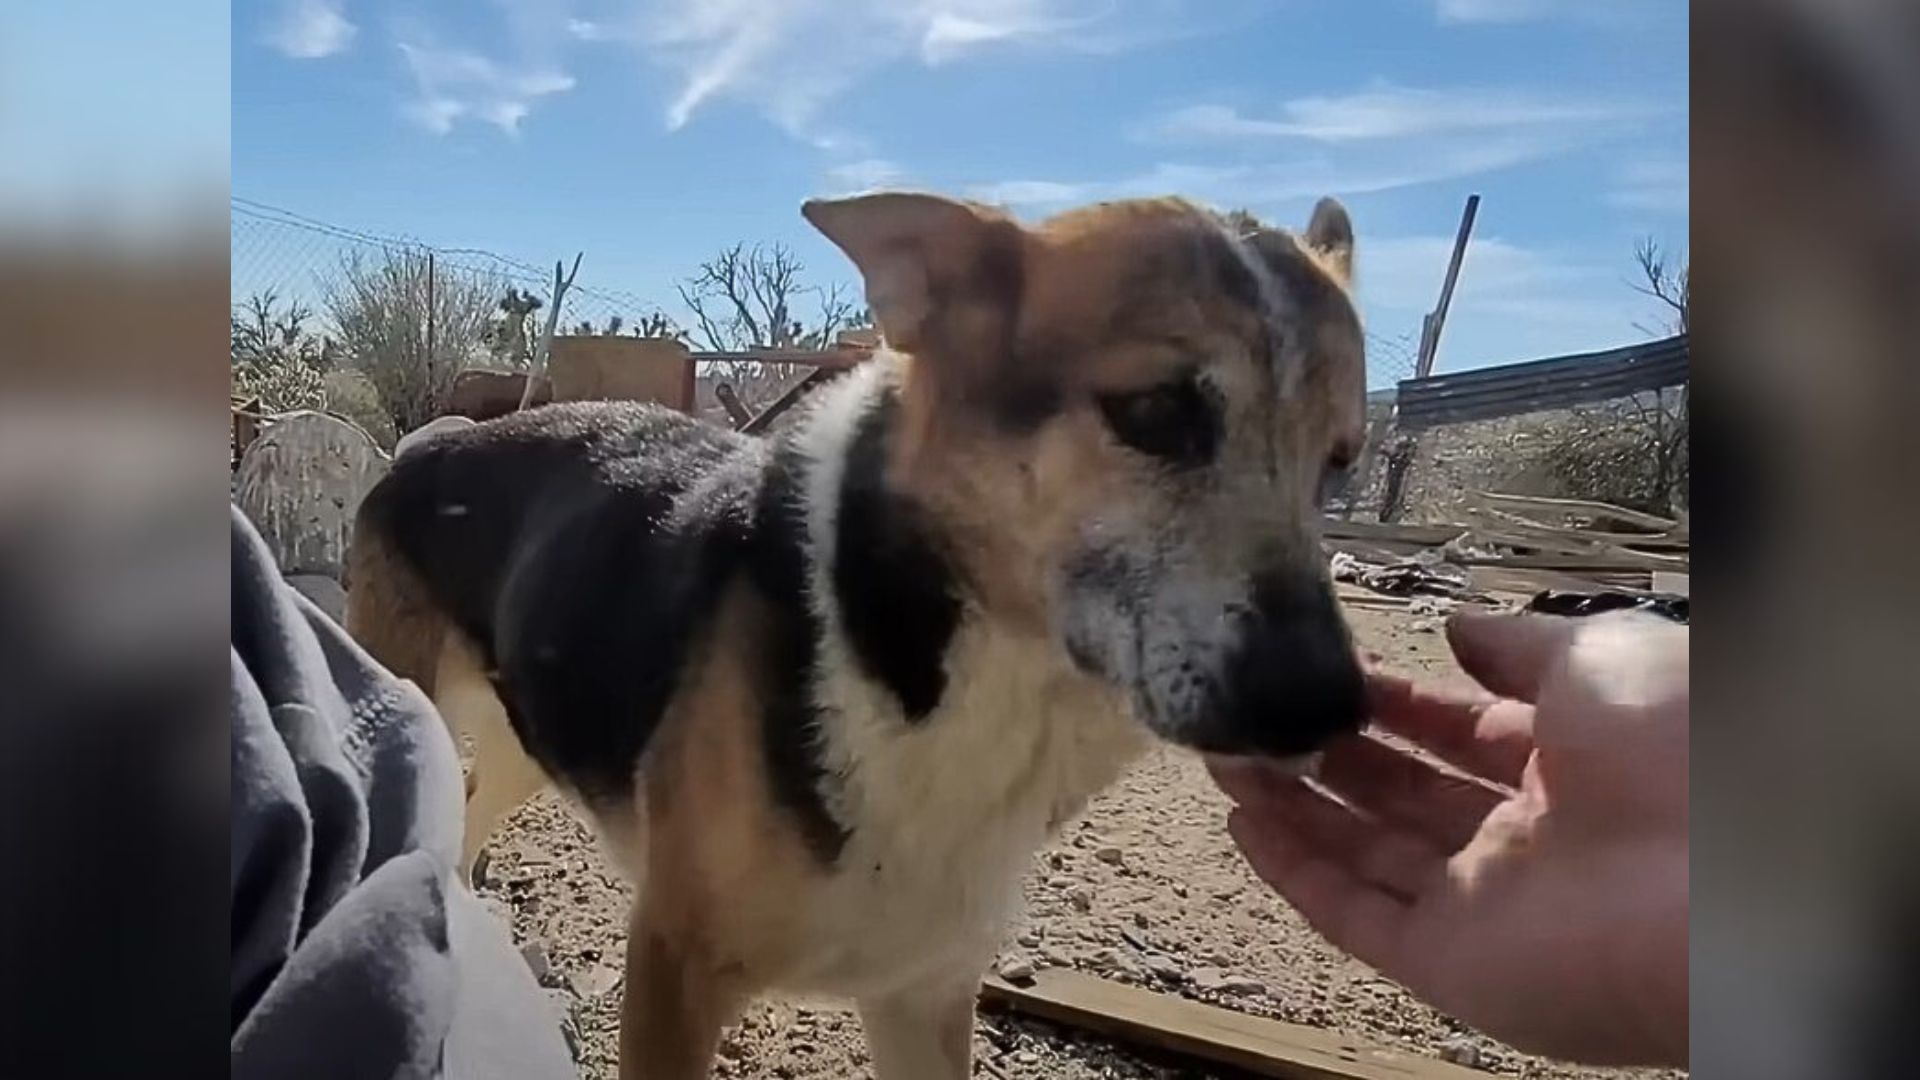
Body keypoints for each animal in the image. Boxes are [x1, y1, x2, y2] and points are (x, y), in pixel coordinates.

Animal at [341, 189, 1367, 1068]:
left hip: (528, 735)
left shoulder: (926, 995)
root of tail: (426, 444)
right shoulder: (674, 966)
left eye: (1341, 461)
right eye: (1156, 411)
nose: (1325, 706)